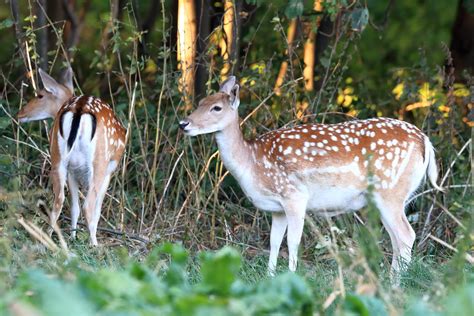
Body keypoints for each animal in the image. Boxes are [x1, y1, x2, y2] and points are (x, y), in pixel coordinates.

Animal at [18, 68, 126, 247]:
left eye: (40, 95)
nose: (20, 113)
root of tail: (79, 109)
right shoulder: (109, 170)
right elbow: (97, 208)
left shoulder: (72, 170)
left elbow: (74, 206)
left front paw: (73, 236)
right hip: (99, 162)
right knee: (88, 205)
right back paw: (94, 244)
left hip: (58, 158)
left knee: (59, 200)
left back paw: (49, 238)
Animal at [180, 75, 442, 280]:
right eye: (200, 102)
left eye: (216, 108)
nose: (184, 123)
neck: (252, 164)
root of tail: (424, 140)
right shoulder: (277, 208)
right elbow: (274, 242)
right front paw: (270, 278)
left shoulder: (294, 196)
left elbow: (293, 241)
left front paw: (292, 276)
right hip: (387, 197)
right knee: (396, 238)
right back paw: (390, 281)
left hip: (390, 190)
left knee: (406, 235)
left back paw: (397, 284)